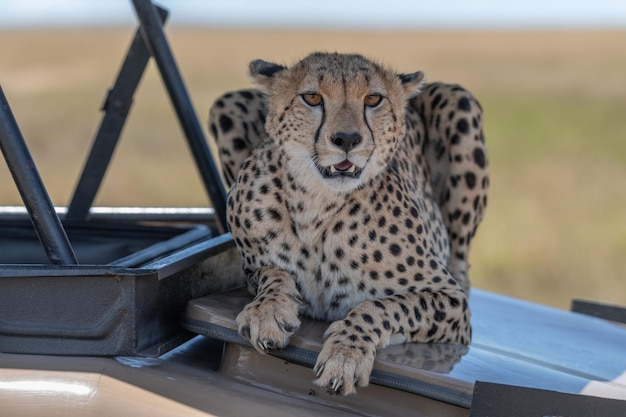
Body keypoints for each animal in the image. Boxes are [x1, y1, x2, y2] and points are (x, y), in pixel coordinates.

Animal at [207, 52, 486, 394]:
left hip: (459, 100)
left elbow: (382, 305)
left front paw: (347, 353)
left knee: (462, 265)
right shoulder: (251, 267)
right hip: (226, 104)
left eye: (373, 99)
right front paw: (269, 311)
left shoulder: (451, 299)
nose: (347, 139)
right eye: (312, 98)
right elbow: (271, 273)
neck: (317, 205)